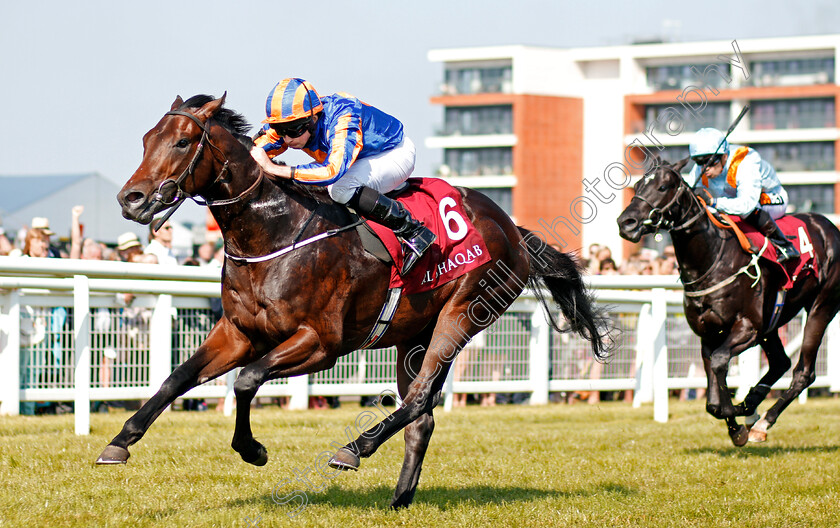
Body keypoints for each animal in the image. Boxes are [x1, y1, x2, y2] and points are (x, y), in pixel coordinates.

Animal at [98, 94, 612, 508]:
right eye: (147, 139)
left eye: (183, 142)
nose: (131, 199)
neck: (274, 231)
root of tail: (513, 230)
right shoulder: (239, 333)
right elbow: (176, 378)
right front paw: (119, 442)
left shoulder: (320, 342)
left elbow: (246, 381)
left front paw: (253, 449)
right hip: (413, 336)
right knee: (422, 416)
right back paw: (399, 499)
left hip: (463, 314)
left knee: (419, 398)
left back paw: (353, 450)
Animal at [616, 157, 840, 446]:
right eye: (637, 186)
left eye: (663, 186)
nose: (626, 223)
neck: (711, 258)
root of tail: (828, 226)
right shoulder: (709, 333)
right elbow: (712, 397)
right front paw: (736, 424)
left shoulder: (748, 328)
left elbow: (720, 363)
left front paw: (736, 412)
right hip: (771, 324)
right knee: (781, 362)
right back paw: (752, 405)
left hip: (821, 306)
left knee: (803, 373)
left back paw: (762, 421)